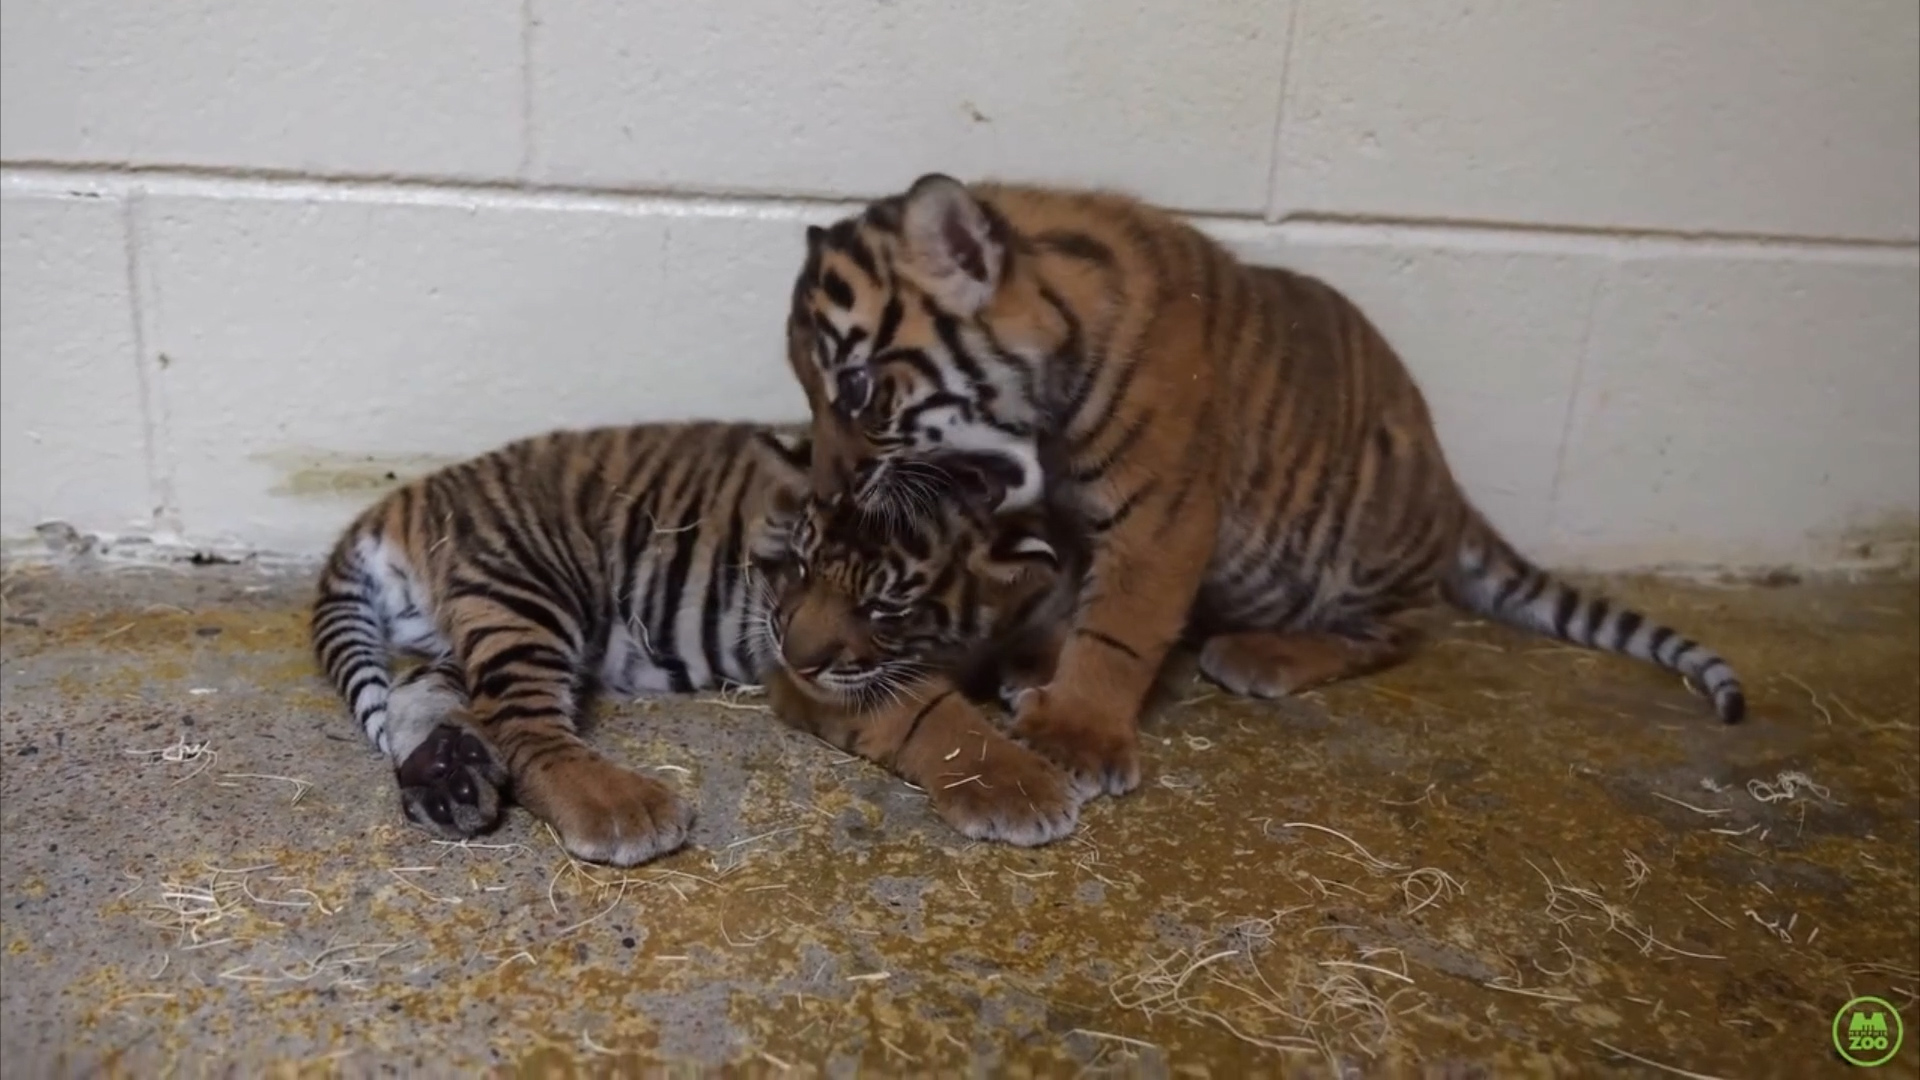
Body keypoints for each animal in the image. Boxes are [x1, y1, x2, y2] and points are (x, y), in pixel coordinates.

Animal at [310, 421, 1085, 867]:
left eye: (881, 605)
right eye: (800, 567)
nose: (793, 649)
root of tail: (400, 502)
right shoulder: (823, 675)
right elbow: (937, 715)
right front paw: (1024, 786)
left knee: (419, 690)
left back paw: (449, 780)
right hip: (529, 583)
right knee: (524, 726)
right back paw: (617, 807)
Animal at [783, 173, 1748, 799]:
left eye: (854, 390)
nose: (826, 488)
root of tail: (1449, 482)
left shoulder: (1163, 514)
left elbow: (1120, 628)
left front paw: (1075, 732)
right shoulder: (1073, 513)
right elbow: (1070, 603)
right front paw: (1037, 668)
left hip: (1368, 530)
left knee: (1400, 629)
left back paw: (1268, 653)